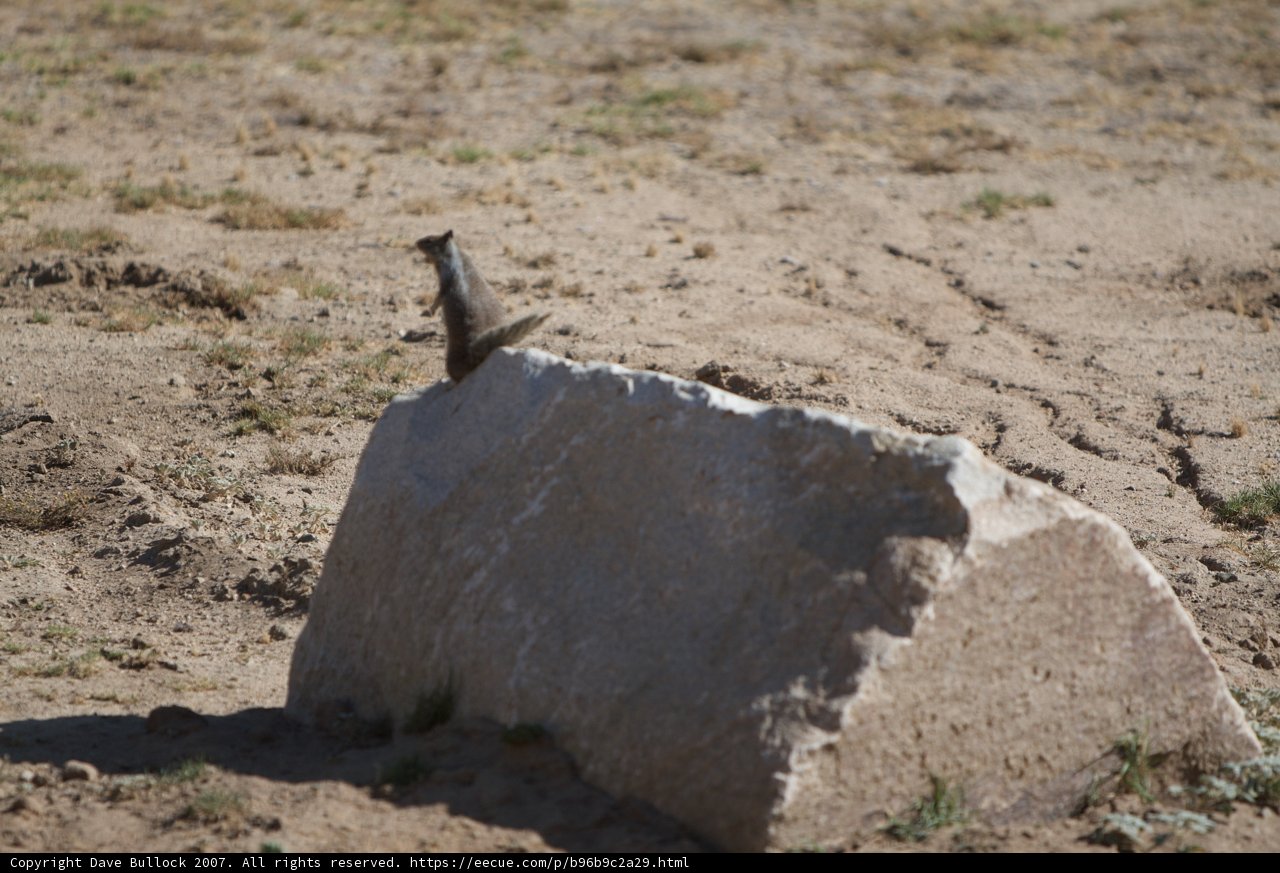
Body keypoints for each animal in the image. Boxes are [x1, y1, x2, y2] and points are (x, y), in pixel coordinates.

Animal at [416, 230, 549, 382]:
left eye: (429, 240)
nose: (416, 242)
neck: (454, 256)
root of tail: (473, 355)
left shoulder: (446, 281)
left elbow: (438, 297)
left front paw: (429, 310)